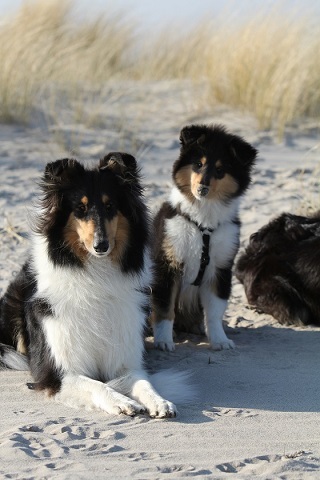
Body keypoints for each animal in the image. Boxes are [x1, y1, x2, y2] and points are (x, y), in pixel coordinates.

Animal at [0, 154, 190, 416]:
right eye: (80, 209)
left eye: (110, 207)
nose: (101, 245)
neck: (96, 275)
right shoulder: (57, 372)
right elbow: (96, 384)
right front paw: (123, 401)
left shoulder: (126, 360)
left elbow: (144, 382)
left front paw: (160, 401)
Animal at [150, 124, 258, 348]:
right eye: (198, 164)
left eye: (220, 170)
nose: (202, 188)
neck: (203, 224)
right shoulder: (167, 265)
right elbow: (164, 309)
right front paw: (163, 341)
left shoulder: (220, 268)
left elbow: (215, 312)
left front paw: (220, 341)